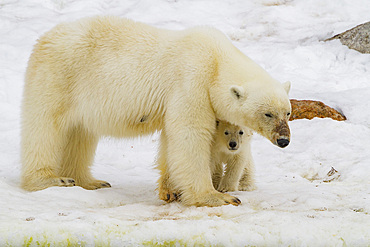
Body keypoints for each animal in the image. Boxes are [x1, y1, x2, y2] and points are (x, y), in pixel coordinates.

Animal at [21, 16, 292, 207]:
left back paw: (90, 181)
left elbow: (171, 140)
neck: (216, 60)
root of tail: (45, 37)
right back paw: (52, 179)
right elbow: (190, 134)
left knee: (80, 134)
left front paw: (170, 190)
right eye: (268, 114)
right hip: (58, 77)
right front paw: (218, 196)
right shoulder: (192, 82)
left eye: (287, 112)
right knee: (46, 128)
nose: (284, 140)